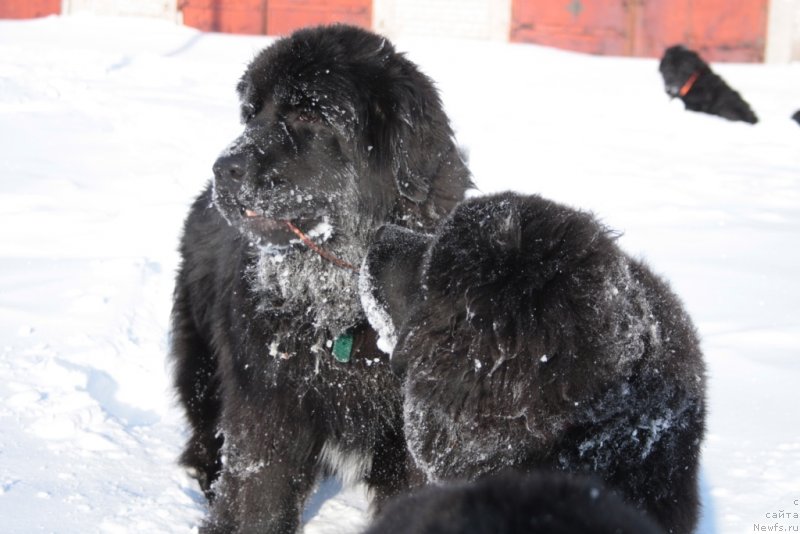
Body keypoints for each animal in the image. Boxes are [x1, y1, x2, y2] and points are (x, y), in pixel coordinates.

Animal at [169, 23, 468, 532]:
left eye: (309, 114)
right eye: (252, 113)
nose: (224, 168)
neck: (342, 314)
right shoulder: (266, 412)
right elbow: (257, 500)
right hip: (202, 358)